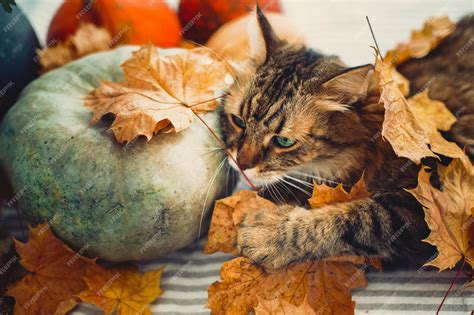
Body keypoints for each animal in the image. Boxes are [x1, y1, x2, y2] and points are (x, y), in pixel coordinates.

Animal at [218, 7, 474, 270]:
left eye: (284, 142)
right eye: (238, 121)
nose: (241, 164)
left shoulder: (422, 205)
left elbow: (353, 220)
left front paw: (268, 233)